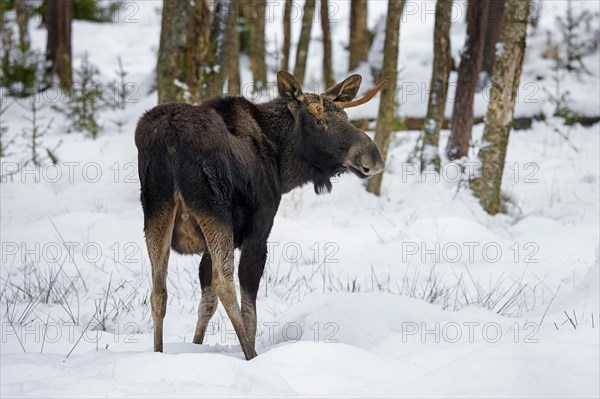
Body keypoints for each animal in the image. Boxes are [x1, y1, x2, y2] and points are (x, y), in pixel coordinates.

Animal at [136, 72, 386, 362]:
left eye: (345, 117)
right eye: (319, 121)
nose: (373, 158)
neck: (281, 162)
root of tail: (170, 137)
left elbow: (206, 300)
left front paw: (196, 346)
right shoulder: (258, 233)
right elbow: (249, 307)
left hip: (156, 208)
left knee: (158, 288)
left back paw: (158, 352)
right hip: (213, 210)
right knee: (224, 283)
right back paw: (250, 353)